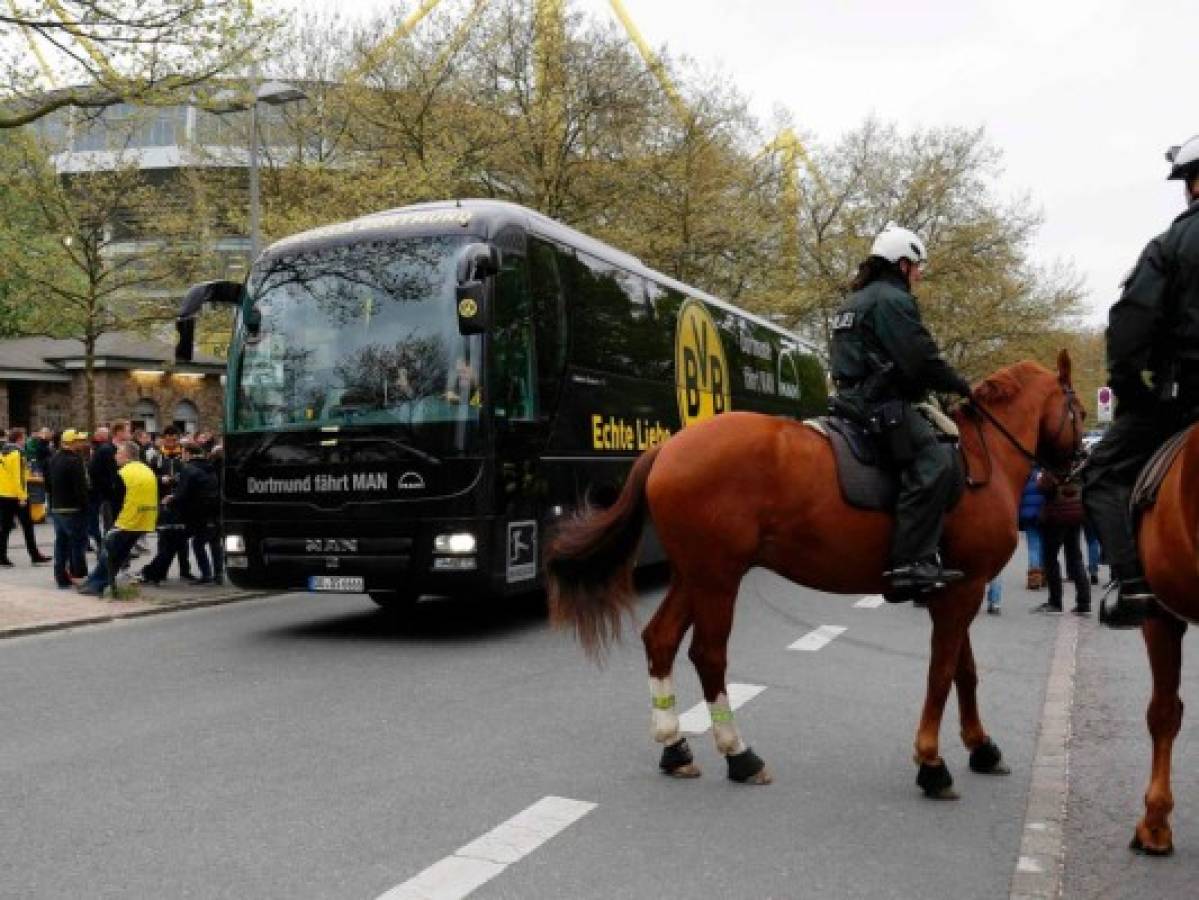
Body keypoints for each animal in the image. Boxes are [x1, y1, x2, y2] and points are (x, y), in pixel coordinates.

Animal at [549, 354, 1083, 800]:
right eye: (1078, 409)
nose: (1075, 472)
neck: (980, 458)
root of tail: (667, 449)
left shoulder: (953, 590)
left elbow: (963, 672)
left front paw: (981, 747)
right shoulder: (963, 591)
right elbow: (942, 673)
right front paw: (931, 763)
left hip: (694, 575)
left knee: (660, 640)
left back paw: (674, 746)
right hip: (718, 578)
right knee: (708, 654)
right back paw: (738, 754)